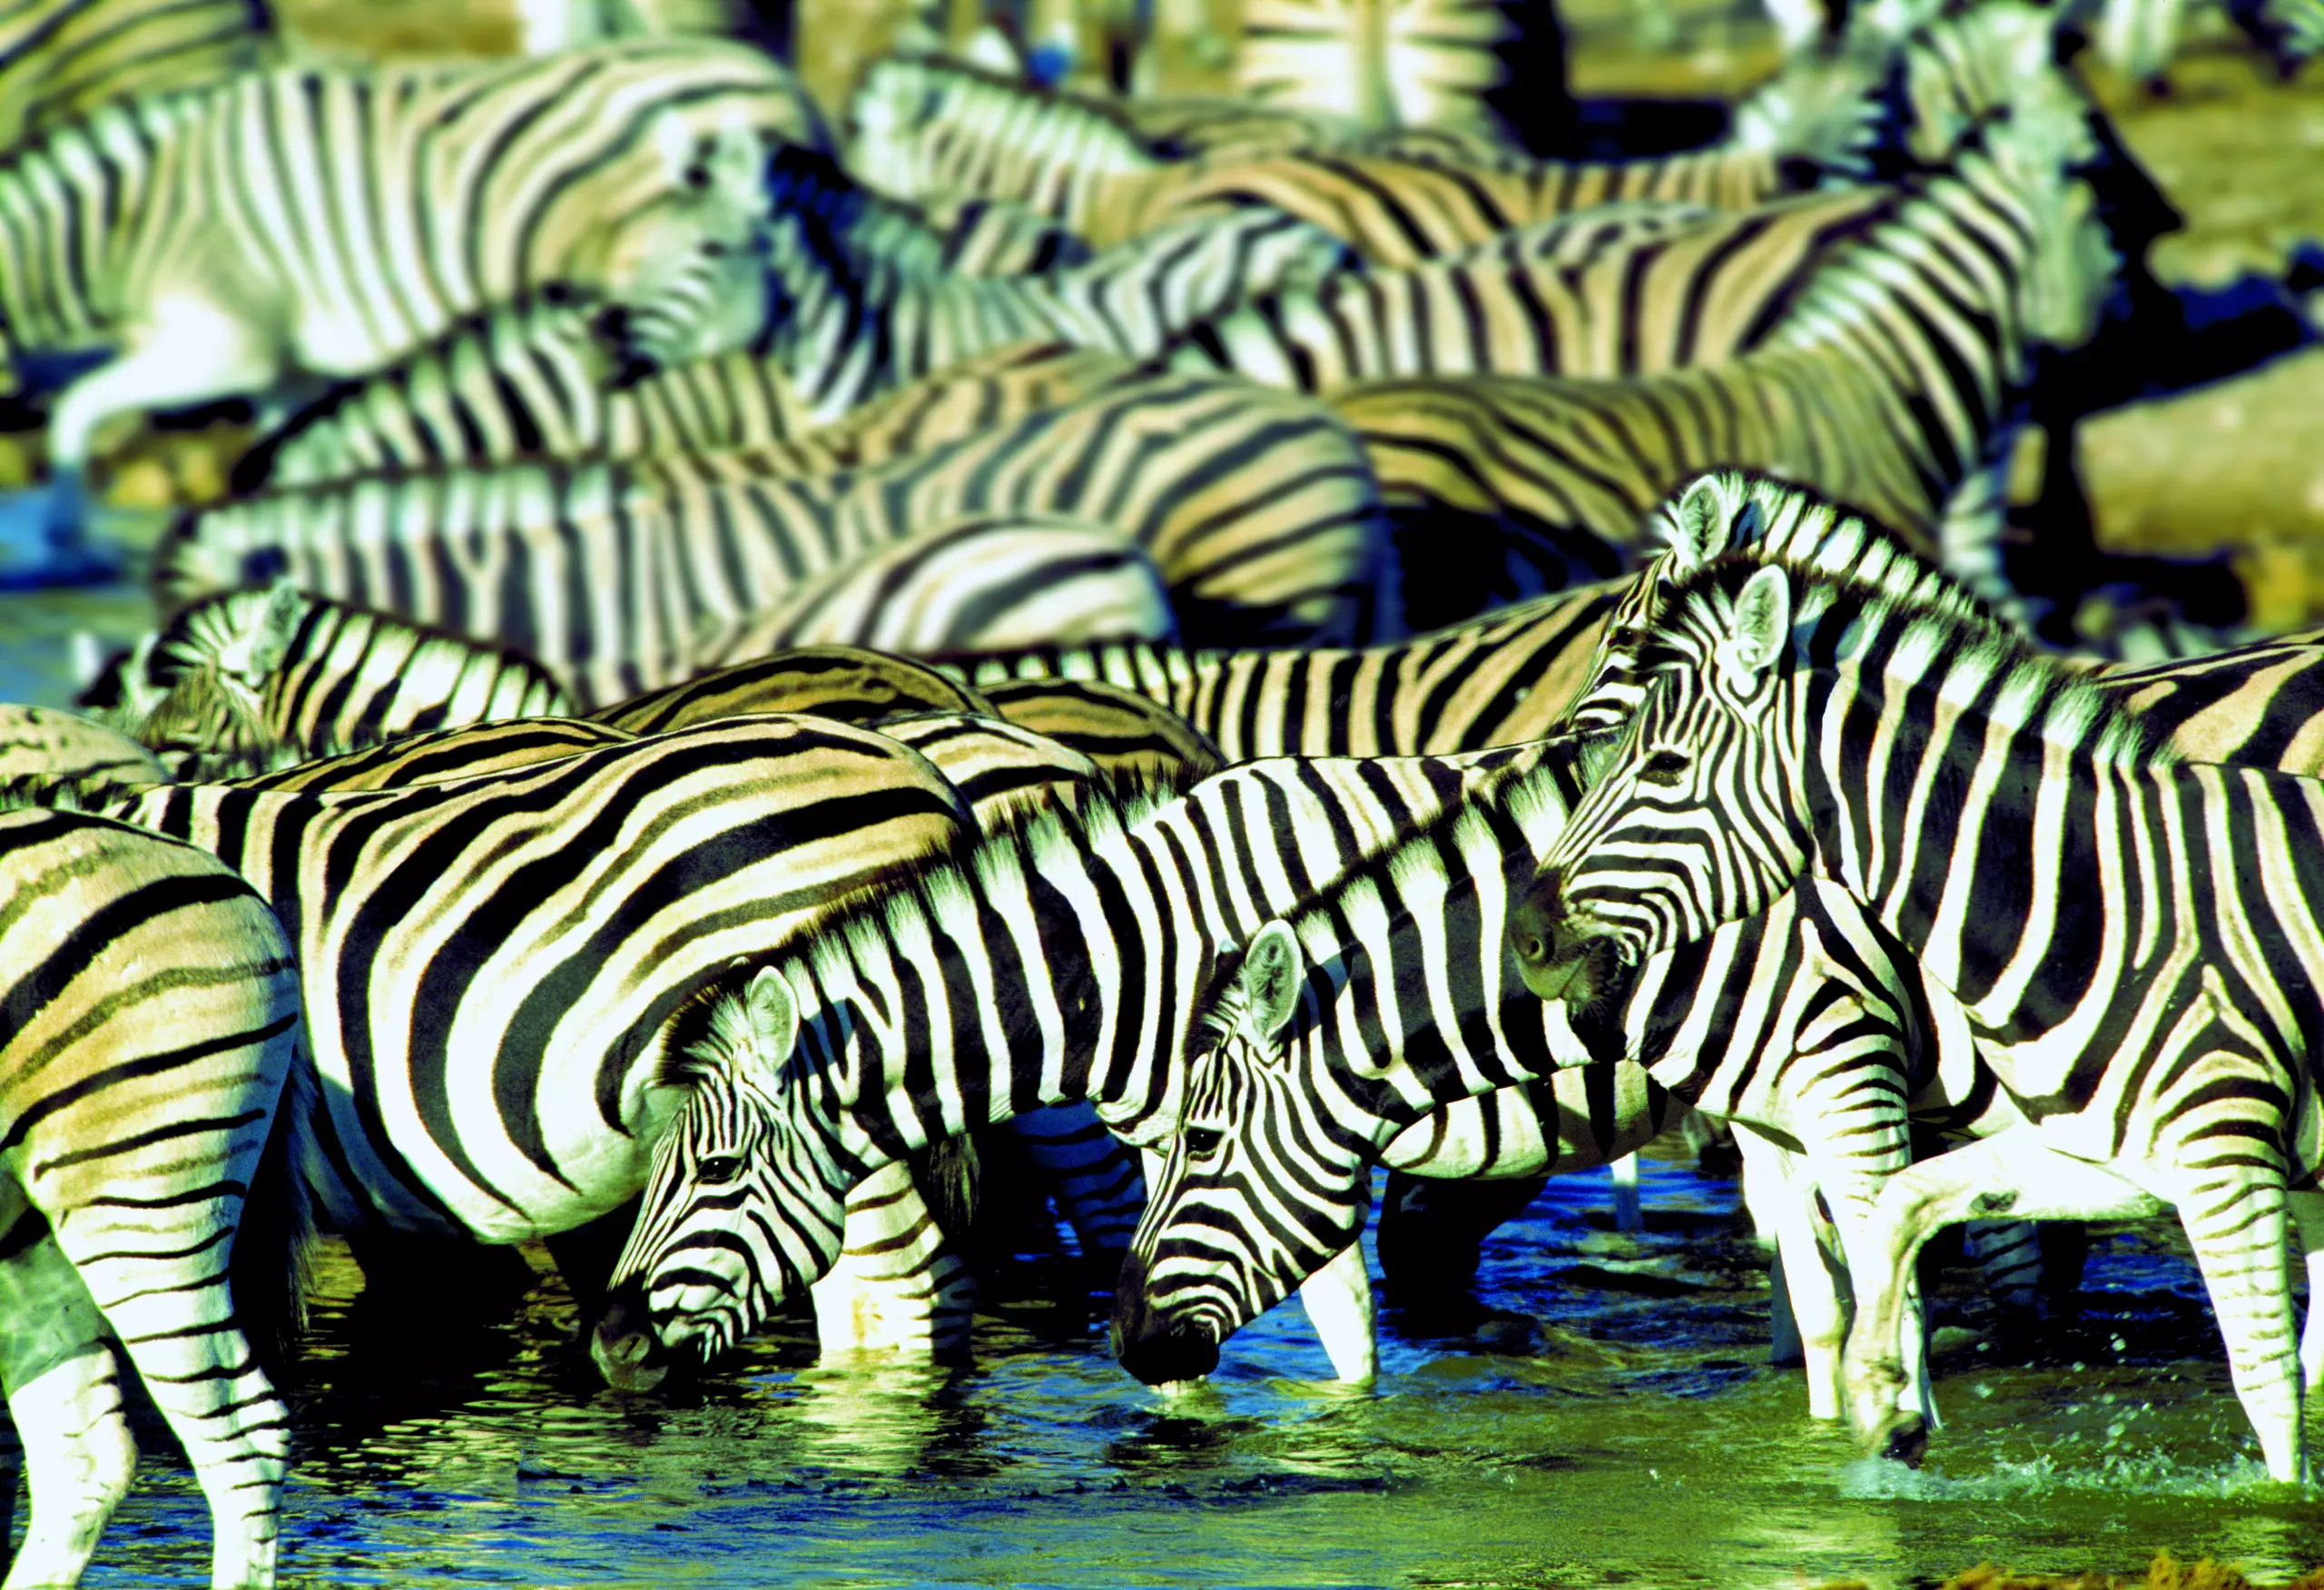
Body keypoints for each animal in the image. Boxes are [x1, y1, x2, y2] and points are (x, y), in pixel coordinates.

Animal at [1515, 555, 2324, 1478]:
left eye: (1663, 764)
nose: (1528, 934)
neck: (2087, 899)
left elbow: (2265, 1387)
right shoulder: (2108, 1151)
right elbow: (1880, 1239)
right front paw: (1879, 1408)